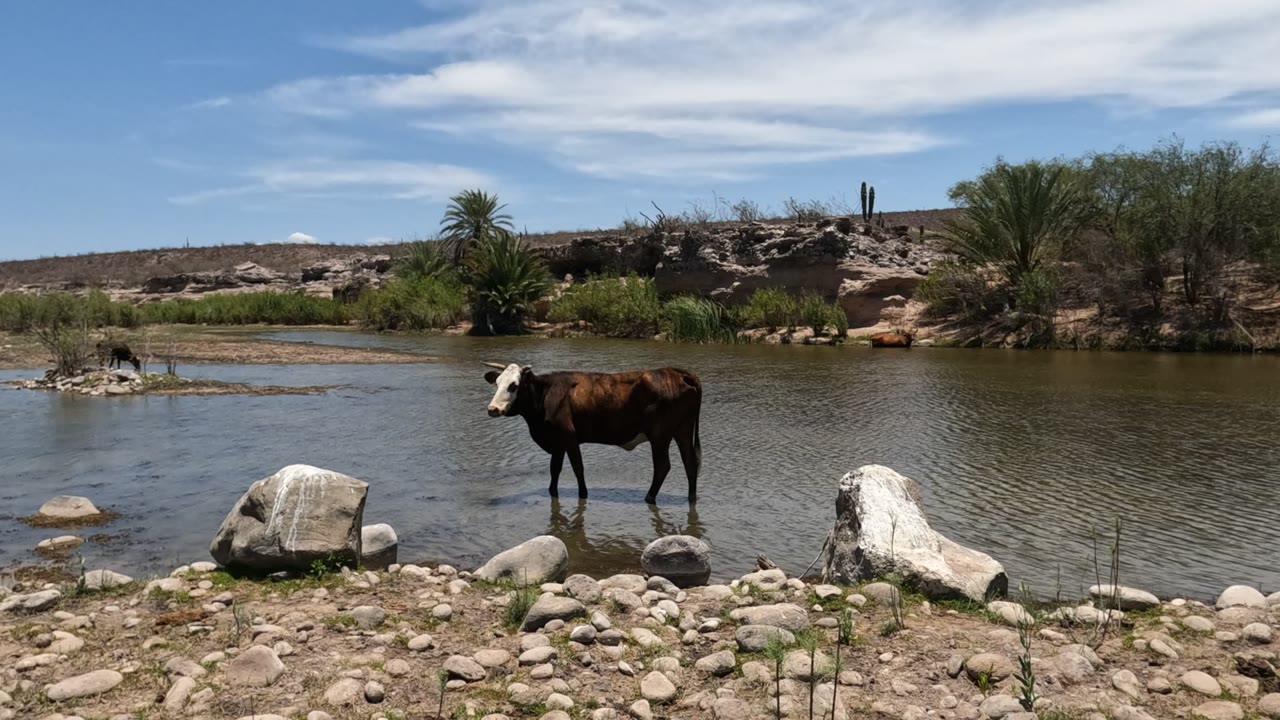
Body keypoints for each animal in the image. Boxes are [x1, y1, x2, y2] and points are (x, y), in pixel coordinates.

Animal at [482, 362, 703, 505]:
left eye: (514, 386)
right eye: (497, 383)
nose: (492, 409)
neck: (547, 395)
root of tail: (677, 372)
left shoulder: (569, 437)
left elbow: (578, 468)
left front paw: (583, 493)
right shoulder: (557, 441)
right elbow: (555, 469)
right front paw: (553, 492)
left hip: (659, 435)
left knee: (663, 466)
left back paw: (649, 498)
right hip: (683, 430)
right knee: (690, 463)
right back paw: (691, 498)